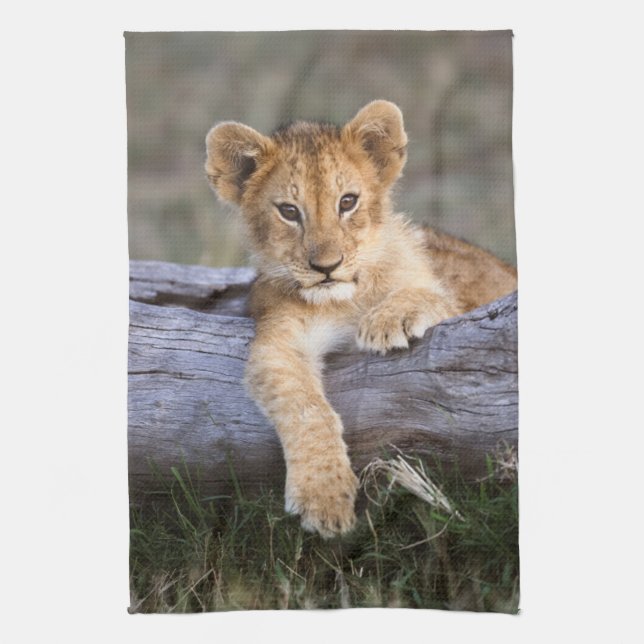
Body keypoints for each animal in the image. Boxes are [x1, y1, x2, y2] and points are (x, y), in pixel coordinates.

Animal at [205, 100, 517, 538]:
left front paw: (388, 320)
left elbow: (428, 294)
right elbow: (306, 407)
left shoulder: (461, 310)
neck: (344, 300)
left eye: (347, 202)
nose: (326, 266)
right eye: (289, 211)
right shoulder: (278, 340)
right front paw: (324, 497)